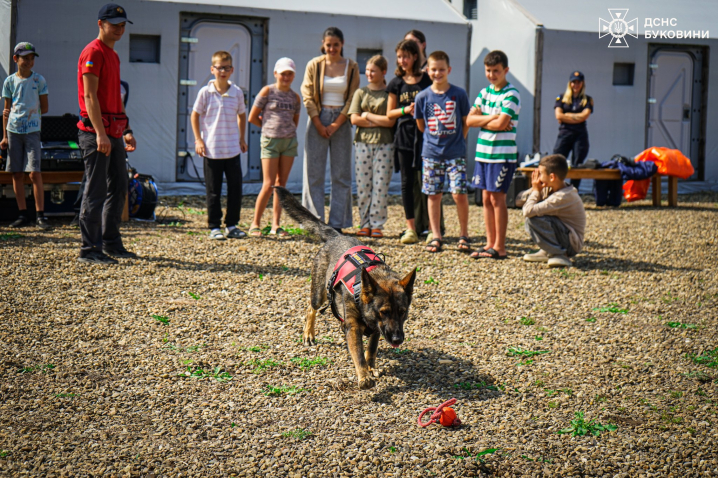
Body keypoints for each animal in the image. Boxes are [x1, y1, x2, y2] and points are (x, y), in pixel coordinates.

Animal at [278, 187, 422, 388]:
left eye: (402, 312)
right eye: (384, 312)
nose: (397, 340)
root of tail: (338, 236)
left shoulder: (376, 329)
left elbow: (371, 349)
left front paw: (371, 367)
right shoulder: (355, 327)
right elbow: (358, 353)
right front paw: (364, 376)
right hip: (319, 294)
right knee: (310, 308)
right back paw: (308, 333)